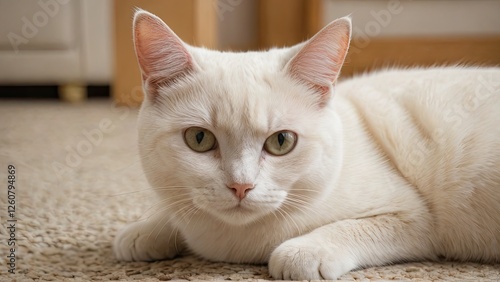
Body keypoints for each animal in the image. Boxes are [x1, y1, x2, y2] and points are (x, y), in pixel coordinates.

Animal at [113, 8, 500, 280]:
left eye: (281, 141)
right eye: (199, 138)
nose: (241, 186)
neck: (234, 243)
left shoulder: (412, 217)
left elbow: (351, 227)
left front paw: (302, 252)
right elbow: (173, 210)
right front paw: (145, 229)